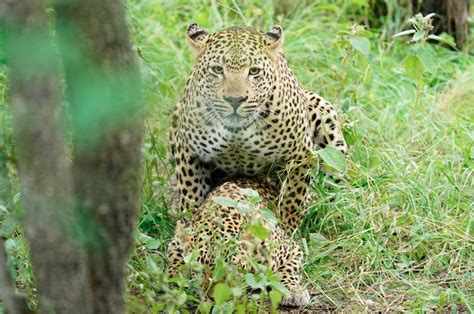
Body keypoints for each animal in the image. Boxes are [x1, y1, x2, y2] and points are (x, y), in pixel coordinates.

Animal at [167, 179, 312, 306]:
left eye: (232, 269)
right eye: (199, 271)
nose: (214, 298)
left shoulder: (292, 249)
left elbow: (288, 271)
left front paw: (293, 291)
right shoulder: (176, 241)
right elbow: (174, 263)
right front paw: (172, 282)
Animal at [168, 23, 346, 231]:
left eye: (253, 71)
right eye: (217, 69)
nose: (235, 100)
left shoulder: (299, 154)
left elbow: (292, 201)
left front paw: (289, 230)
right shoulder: (189, 152)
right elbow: (191, 197)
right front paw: (190, 227)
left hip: (323, 114)